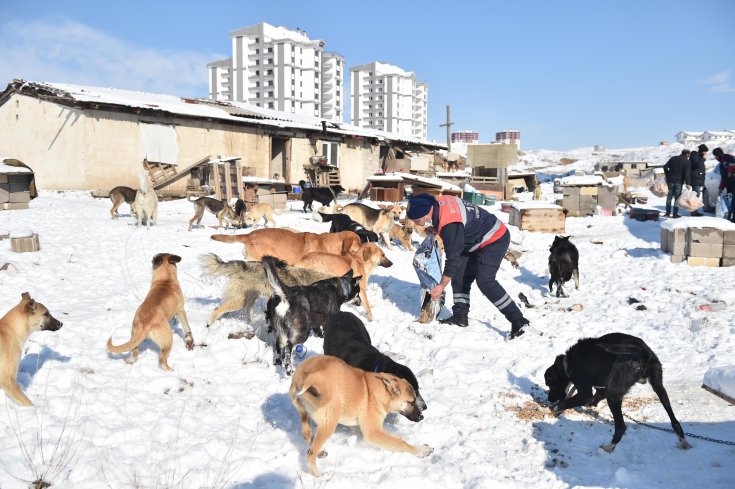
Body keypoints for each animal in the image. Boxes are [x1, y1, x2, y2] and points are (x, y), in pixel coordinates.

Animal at [197, 252, 332, 324]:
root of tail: (244, 265)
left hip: (250, 298)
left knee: (245, 311)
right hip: (240, 300)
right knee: (217, 309)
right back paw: (209, 325)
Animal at [290, 354, 434, 476]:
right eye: (412, 401)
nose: (422, 417)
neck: (378, 392)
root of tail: (306, 377)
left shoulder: (361, 427)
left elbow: (395, 437)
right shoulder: (373, 433)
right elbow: (401, 443)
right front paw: (421, 451)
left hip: (305, 414)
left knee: (307, 434)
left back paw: (320, 450)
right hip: (329, 423)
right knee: (311, 454)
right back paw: (318, 475)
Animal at [544, 334, 692, 452]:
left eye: (550, 384)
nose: (549, 399)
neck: (568, 363)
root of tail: (641, 353)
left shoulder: (585, 391)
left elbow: (568, 402)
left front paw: (550, 409)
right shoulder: (599, 389)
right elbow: (593, 398)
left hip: (613, 394)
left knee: (621, 427)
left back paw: (608, 447)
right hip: (659, 387)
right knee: (674, 420)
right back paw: (683, 441)